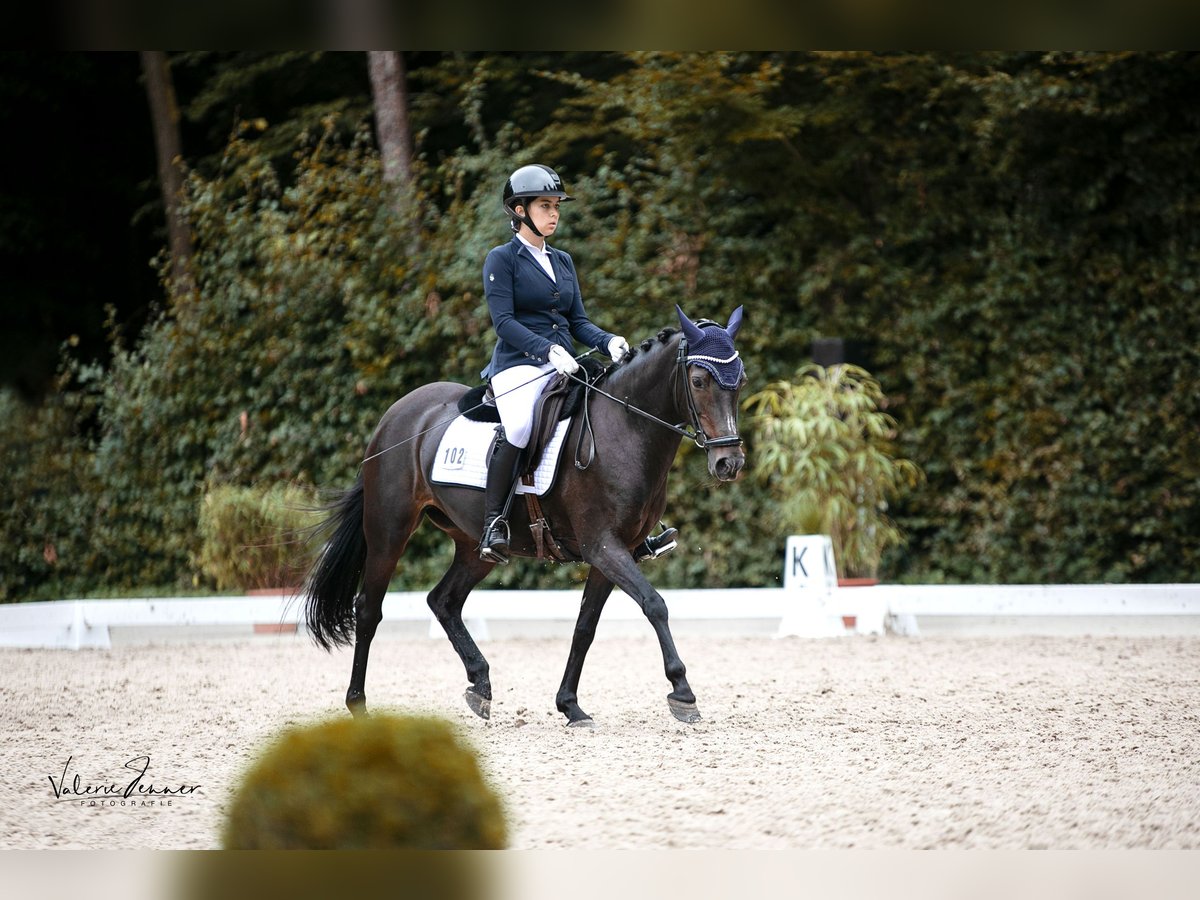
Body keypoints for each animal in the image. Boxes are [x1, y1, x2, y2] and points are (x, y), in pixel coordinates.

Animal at [300, 307, 744, 729]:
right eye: (699, 381)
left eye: (739, 381)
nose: (730, 463)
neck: (626, 428)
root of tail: (394, 416)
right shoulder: (602, 546)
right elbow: (655, 605)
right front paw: (683, 692)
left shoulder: (615, 551)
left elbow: (585, 626)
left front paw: (570, 706)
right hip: (389, 531)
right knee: (368, 609)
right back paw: (359, 705)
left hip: (474, 545)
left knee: (443, 600)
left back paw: (480, 685)